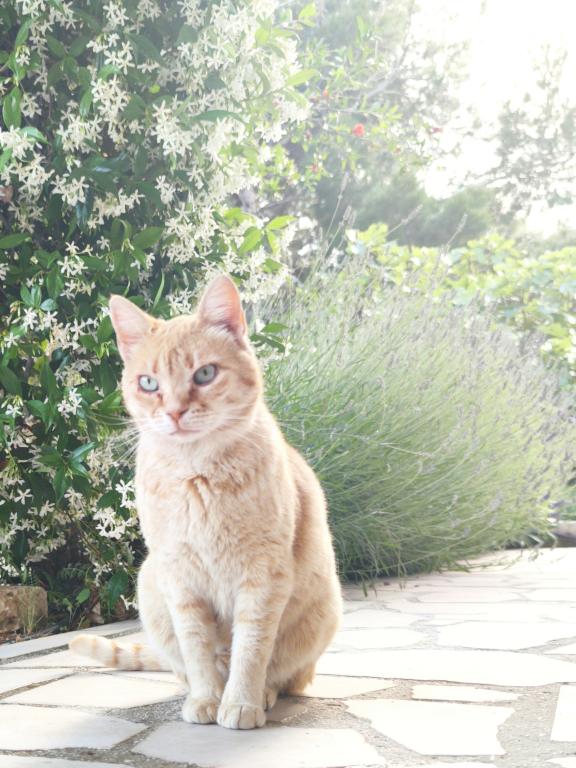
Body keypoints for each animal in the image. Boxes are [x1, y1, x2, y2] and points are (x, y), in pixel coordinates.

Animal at [70, 275, 342, 730]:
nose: (176, 412)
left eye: (205, 373)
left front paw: (240, 702)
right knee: (183, 664)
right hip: (150, 583)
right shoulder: (180, 578)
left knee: (286, 675)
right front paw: (206, 699)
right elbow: (197, 648)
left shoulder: (262, 577)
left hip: (323, 610)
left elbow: (251, 648)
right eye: (148, 383)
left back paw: (264, 693)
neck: (196, 476)